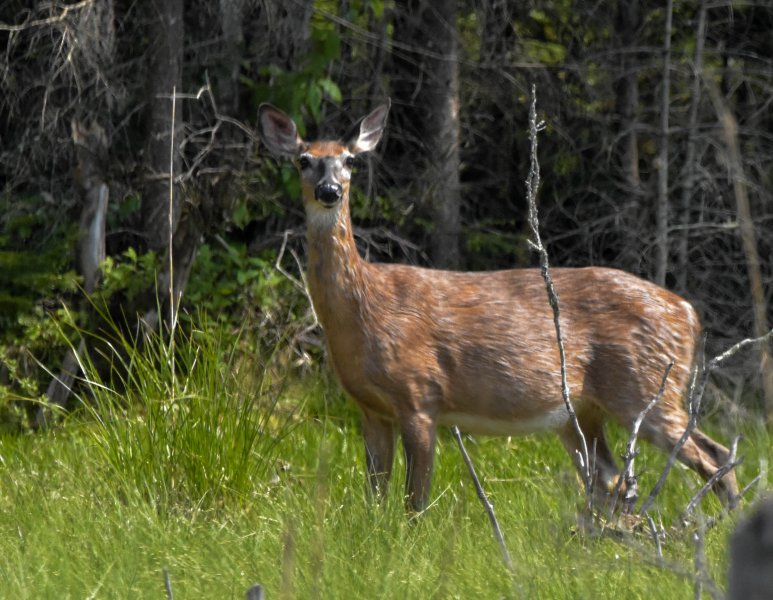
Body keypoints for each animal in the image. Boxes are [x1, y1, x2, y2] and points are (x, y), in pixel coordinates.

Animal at [258, 99, 739, 513]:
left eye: (350, 161)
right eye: (304, 160)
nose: (329, 191)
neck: (365, 312)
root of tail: (688, 312)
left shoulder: (419, 394)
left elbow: (415, 500)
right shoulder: (370, 408)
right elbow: (374, 496)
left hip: (645, 384)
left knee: (713, 454)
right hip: (583, 410)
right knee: (611, 477)